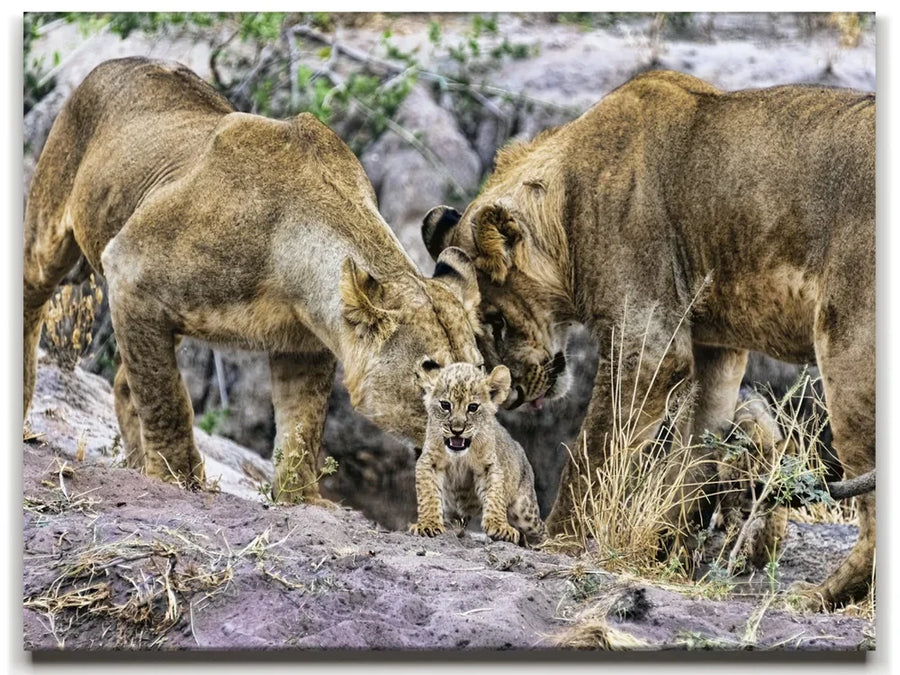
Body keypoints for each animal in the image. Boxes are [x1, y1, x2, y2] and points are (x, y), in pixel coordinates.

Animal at [23, 57, 484, 503]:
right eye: (432, 376)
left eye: (480, 371)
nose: (471, 431)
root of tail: (115, 62)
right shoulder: (129, 270)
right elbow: (166, 398)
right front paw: (178, 478)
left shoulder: (306, 346)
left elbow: (303, 428)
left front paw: (303, 499)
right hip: (51, 230)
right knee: (32, 301)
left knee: (124, 381)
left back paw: (136, 463)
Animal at [410, 362, 546, 546]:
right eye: (445, 405)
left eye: (473, 407)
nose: (457, 430)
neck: (459, 456)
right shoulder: (429, 461)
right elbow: (428, 495)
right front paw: (428, 524)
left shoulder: (489, 465)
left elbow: (495, 496)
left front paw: (499, 527)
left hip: (525, 510)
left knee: (541, 528)